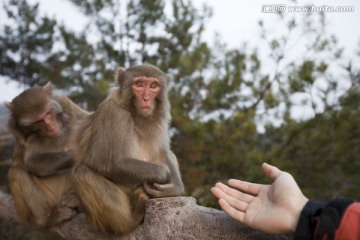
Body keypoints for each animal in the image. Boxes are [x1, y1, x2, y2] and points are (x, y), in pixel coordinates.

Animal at [5, 83, 90, 227]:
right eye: (38, 122)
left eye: (48, 114)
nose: (51, 127)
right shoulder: (16, 128)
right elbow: (30, 160)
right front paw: (73, 156)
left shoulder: (65, 103)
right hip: (45, 202)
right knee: (16, 172)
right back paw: (47, 219)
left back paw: (76, 201)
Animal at [73, 63, 186, 234]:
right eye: (139, 84)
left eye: (153, 86)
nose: (146, 99)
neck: (136, 115)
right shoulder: (114, 114)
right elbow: (107, 162)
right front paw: (163, 173)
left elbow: (163, 152)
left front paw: (174, 188)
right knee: (82, 173)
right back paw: (129, 221)